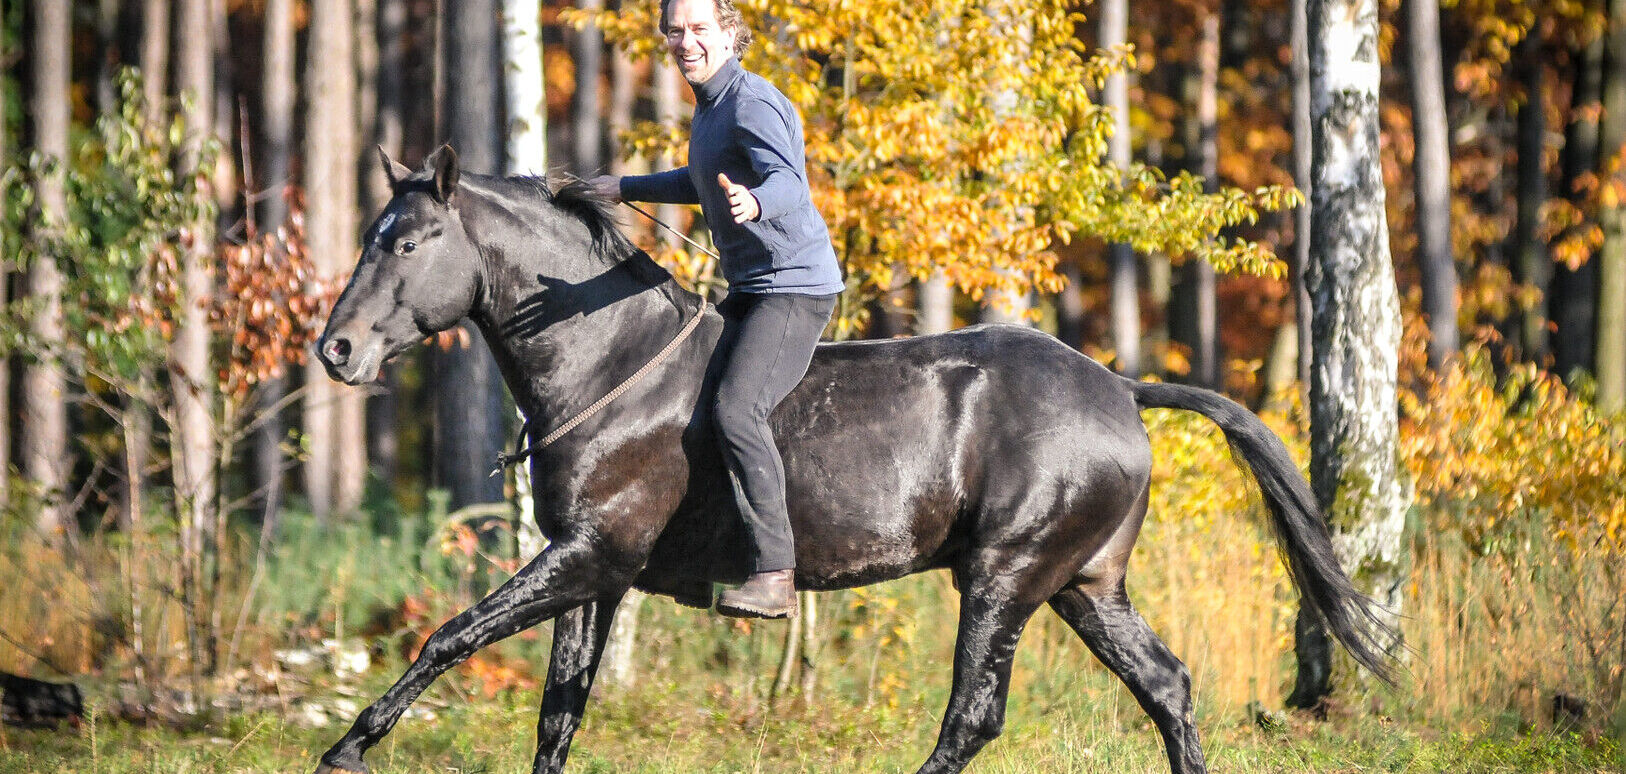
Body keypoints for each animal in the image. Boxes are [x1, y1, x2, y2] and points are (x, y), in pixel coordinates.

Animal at [311, 145, 1396, 774]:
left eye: (406, 241)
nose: (338, 351)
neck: (610, 367)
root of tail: (1122, 390)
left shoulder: (586, 556)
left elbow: (447, 637)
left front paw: (347, 750)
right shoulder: (592, 574)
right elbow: (557, 714)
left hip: (1006, 575)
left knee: (973, 716)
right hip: (1084, 584)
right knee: (1165, 685)